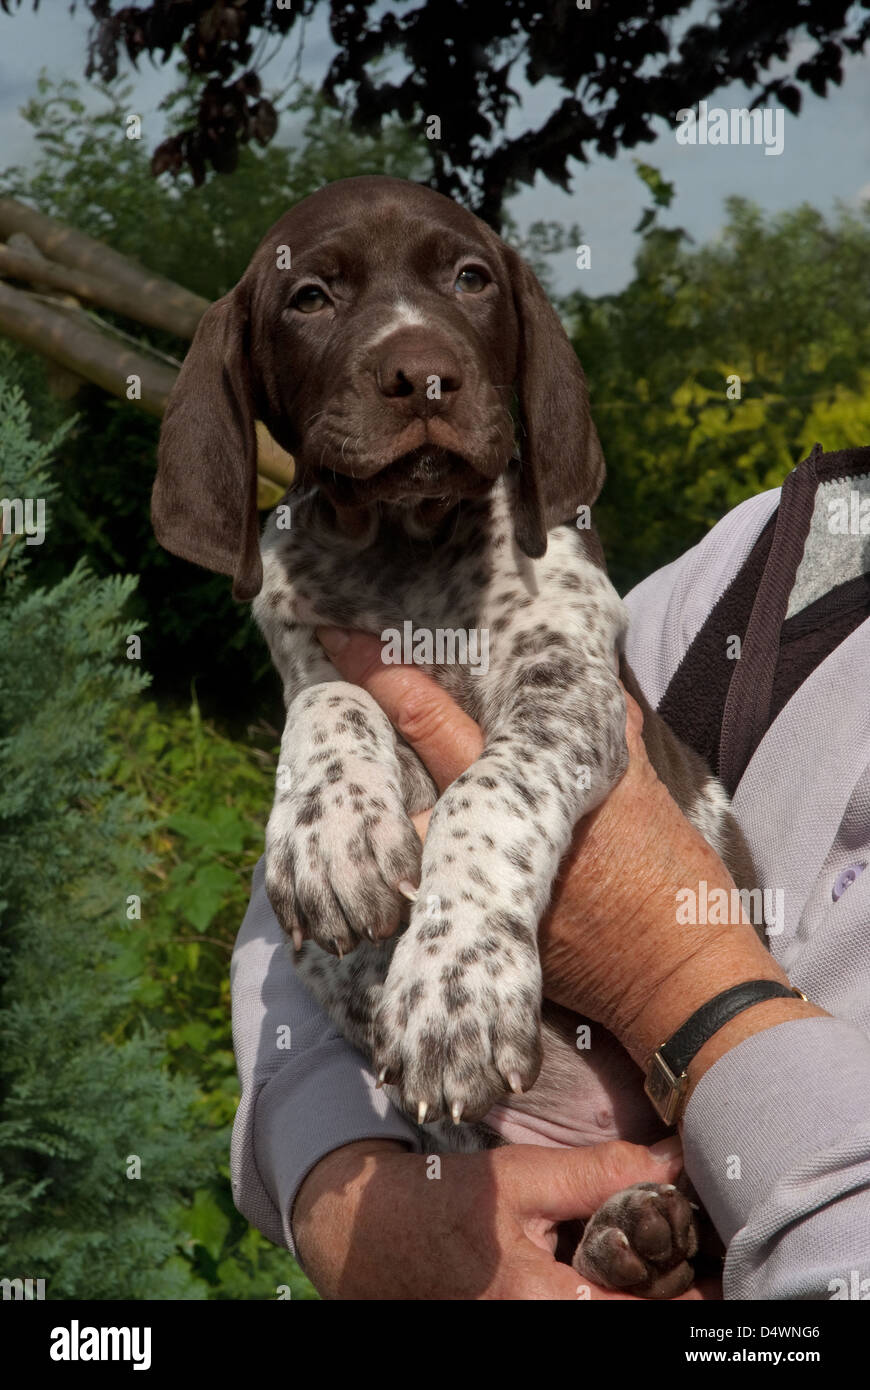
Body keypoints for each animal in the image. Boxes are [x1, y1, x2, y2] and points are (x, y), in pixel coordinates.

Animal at [154, 173, 750, 1289]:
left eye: (472, 278)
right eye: (309, 296)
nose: (425, 376)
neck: (406, 549)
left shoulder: (566, 689)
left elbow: (489, 793)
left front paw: (453, 986)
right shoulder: (309, 652)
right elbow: (329, 705)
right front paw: (331, 831)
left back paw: (647, 1233)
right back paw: (625, 1234)